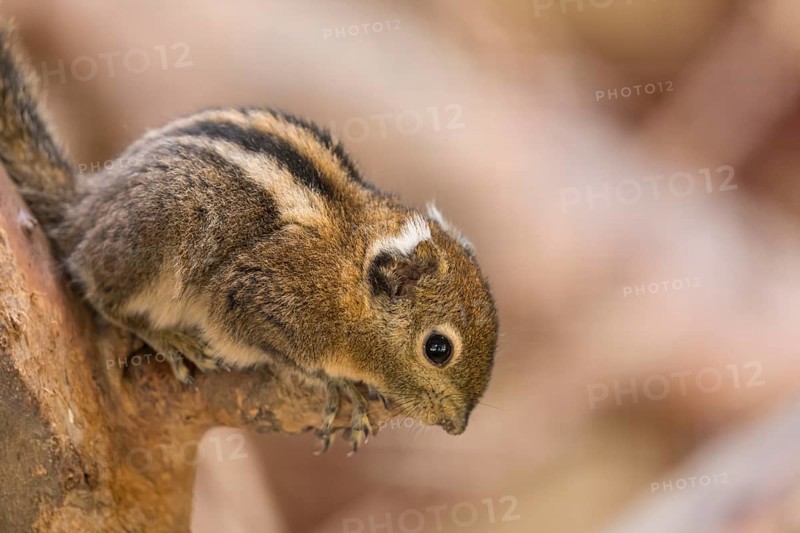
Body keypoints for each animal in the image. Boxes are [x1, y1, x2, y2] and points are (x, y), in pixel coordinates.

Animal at [0, 20, 498, 452]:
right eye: (438, 349)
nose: (458, 426)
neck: (347, 274)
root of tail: (85, 208)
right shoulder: (253, 296)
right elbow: (290, 358)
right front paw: (341, 384)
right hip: (164, 224)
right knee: (98, 289)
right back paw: (162, 334)